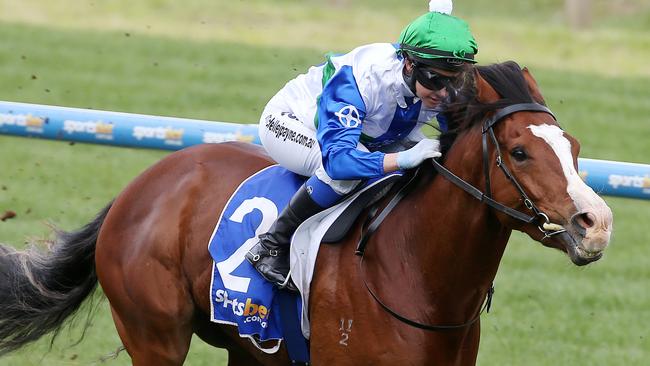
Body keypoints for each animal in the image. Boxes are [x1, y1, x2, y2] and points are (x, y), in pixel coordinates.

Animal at [0, 61, 612, 364]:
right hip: (153, 334)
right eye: (520, 151)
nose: (596, 224)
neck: (416, 275)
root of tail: (140, 187)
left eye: (575, 146)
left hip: (251, 349)